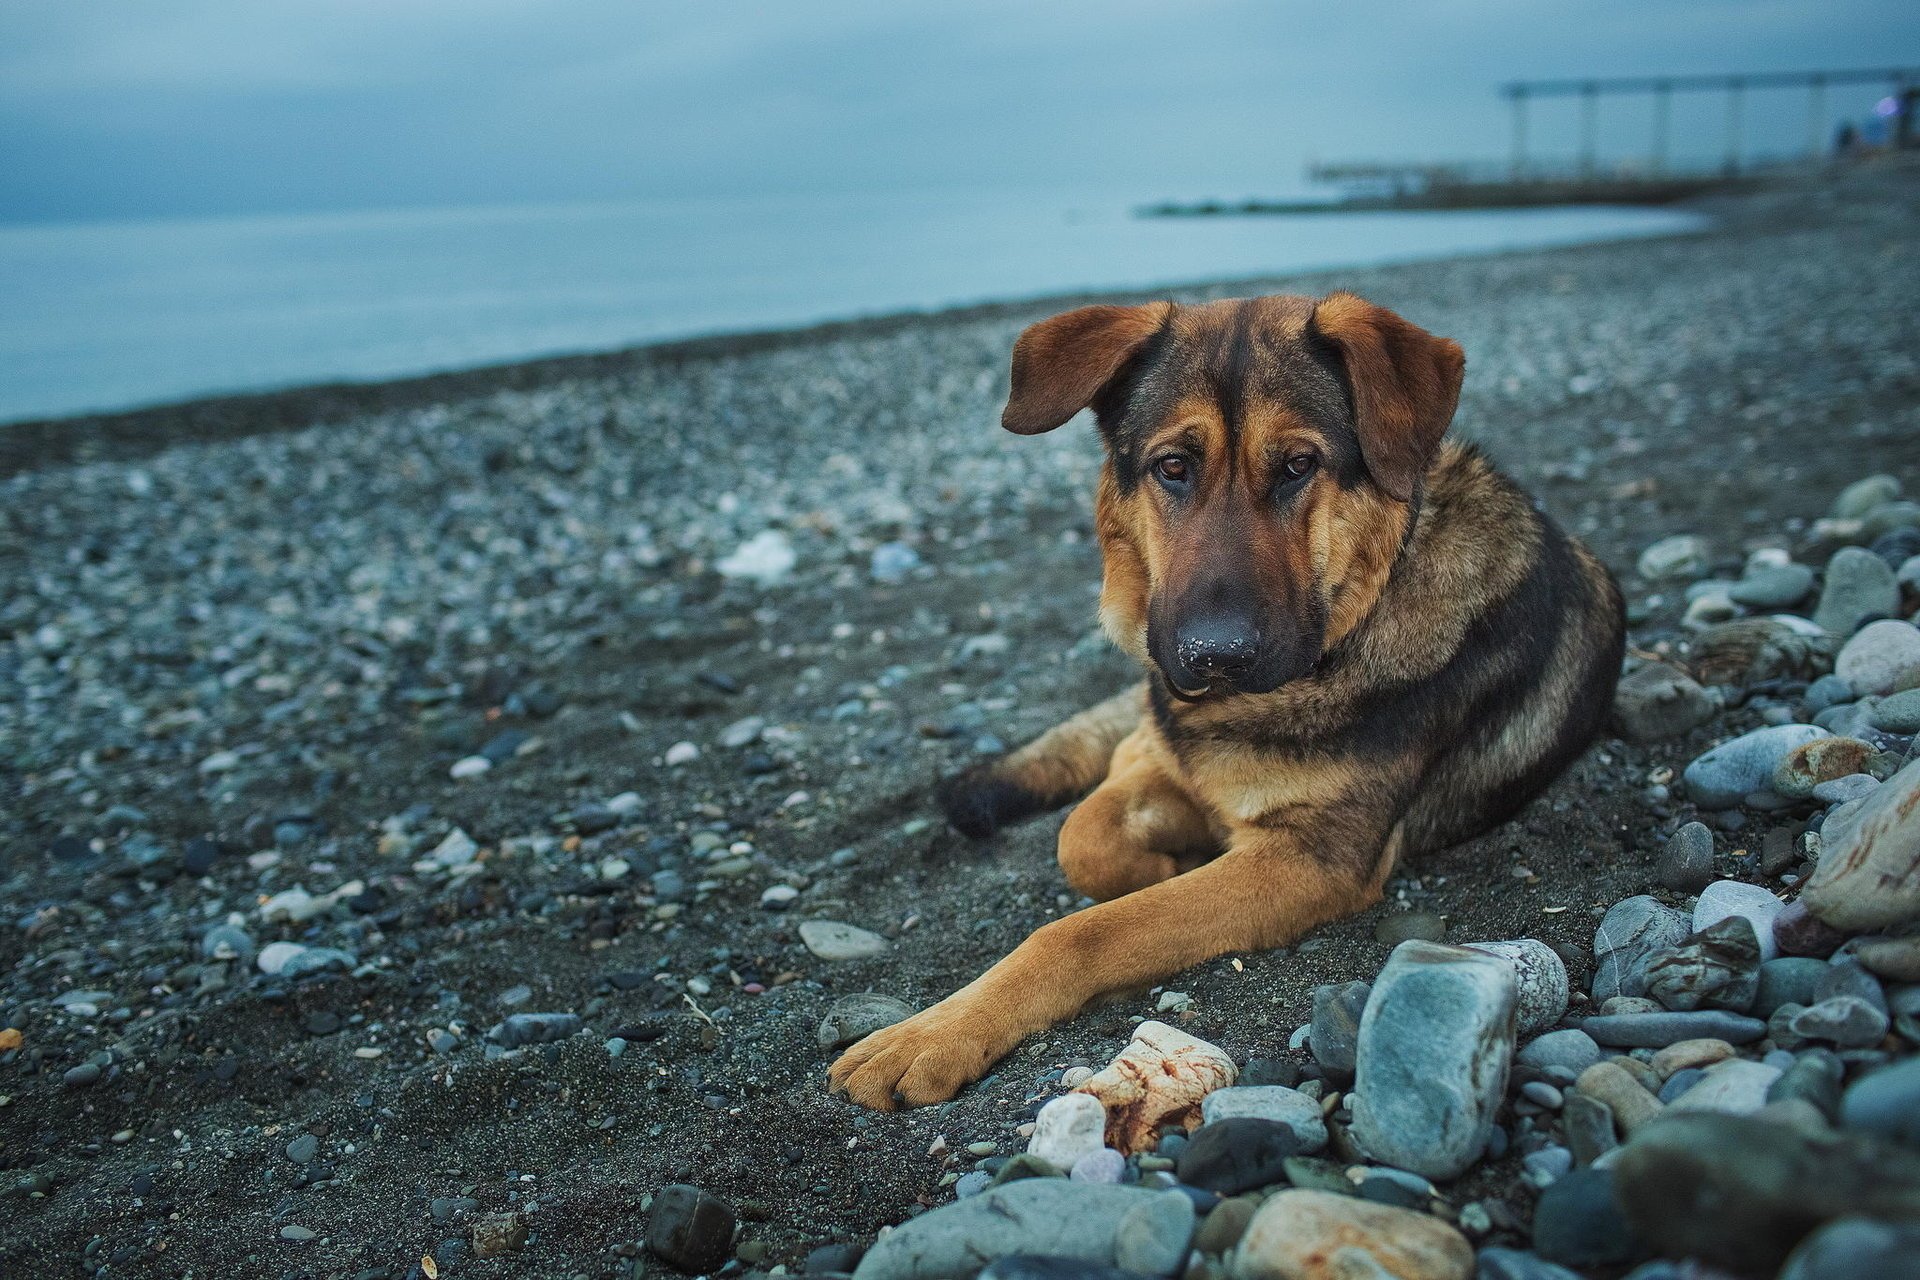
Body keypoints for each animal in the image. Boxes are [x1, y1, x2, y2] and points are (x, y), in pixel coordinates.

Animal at [825, 289, 1620, 1113]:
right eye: (1173, 467)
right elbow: (1080, 835)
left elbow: (1084, 930)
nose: (1216, 656)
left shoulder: (1311, 858)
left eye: (1299, 466)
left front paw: (935, 1032)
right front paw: (1154, 860)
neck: (1357, 615)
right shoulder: (1170, 759)